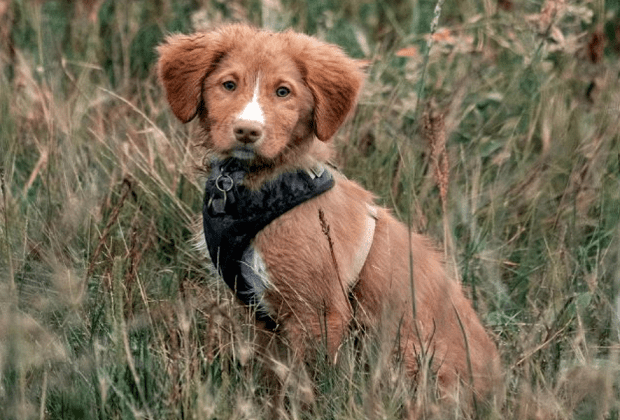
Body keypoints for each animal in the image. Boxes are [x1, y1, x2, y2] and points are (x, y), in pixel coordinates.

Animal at [157, 23, 502, 404]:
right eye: (229, 85)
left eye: (283, 92)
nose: (247, 131)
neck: (263, 185)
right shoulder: (261, 315)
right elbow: (274, 377)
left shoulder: (319, 312)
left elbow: (309, 383)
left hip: (405, 351)